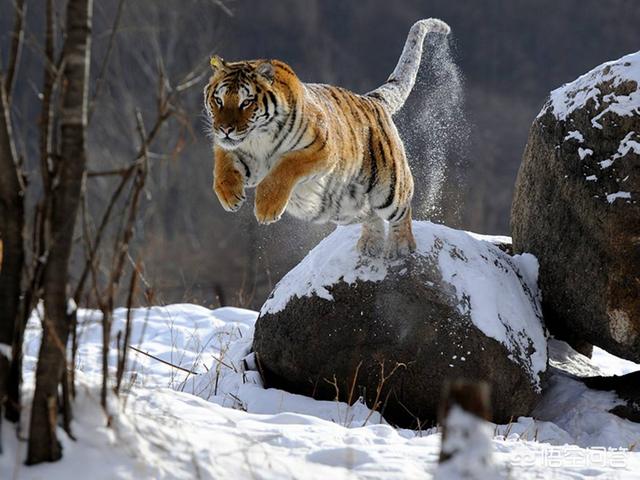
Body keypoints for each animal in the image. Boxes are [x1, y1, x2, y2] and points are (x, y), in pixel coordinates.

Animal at [204, 17, 450, 258]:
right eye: (219, 100)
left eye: (246, 102)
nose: (225, 129)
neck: (258, 140)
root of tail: (373, 100)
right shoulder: (239, 154)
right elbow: (222, 166)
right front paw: (230, 196)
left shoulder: (322, 149)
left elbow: (284, 168)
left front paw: (266, 209)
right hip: (345, 207)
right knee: (370, 214)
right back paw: (370, 244)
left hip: (389, 188)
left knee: (401, 210)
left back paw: (400, 247)